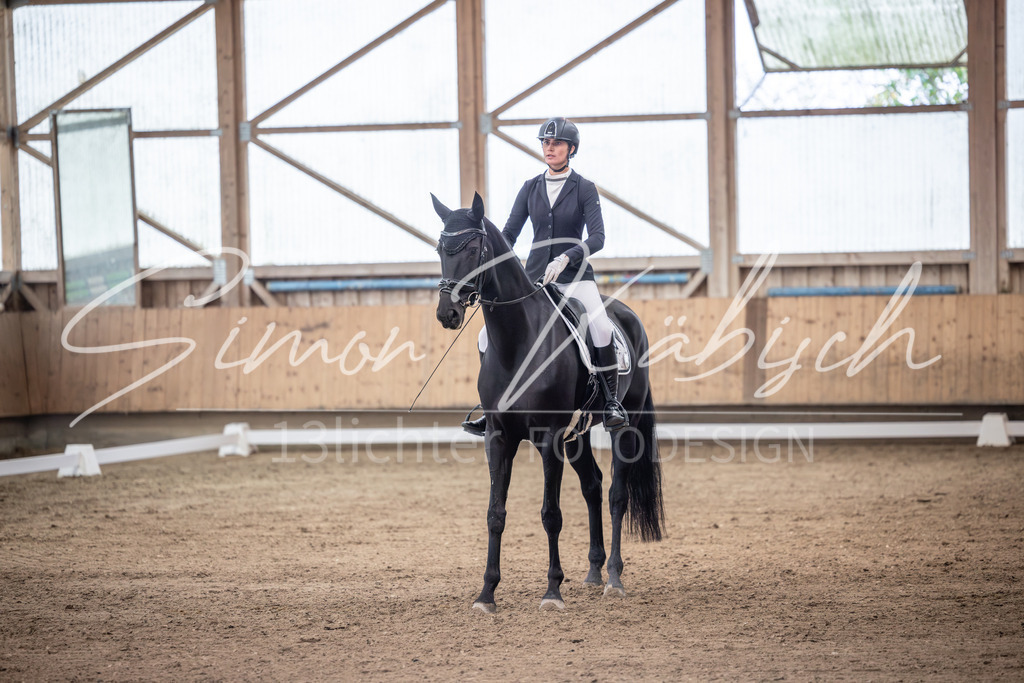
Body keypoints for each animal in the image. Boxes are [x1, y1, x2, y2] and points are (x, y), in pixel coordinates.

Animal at [431, 191, 664, 613]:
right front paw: (486, 594)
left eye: (473, 249)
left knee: (616, 494)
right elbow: (495, 513)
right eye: (441, 248)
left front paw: (553, 591)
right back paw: (593, 572)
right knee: (592, 486)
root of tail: (627, 316)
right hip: (577, 435)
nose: (448, 313)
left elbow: (551, 514)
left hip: (625, 428)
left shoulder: (549, 437)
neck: (518, 341)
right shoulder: (499, 437)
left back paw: (613, 579)